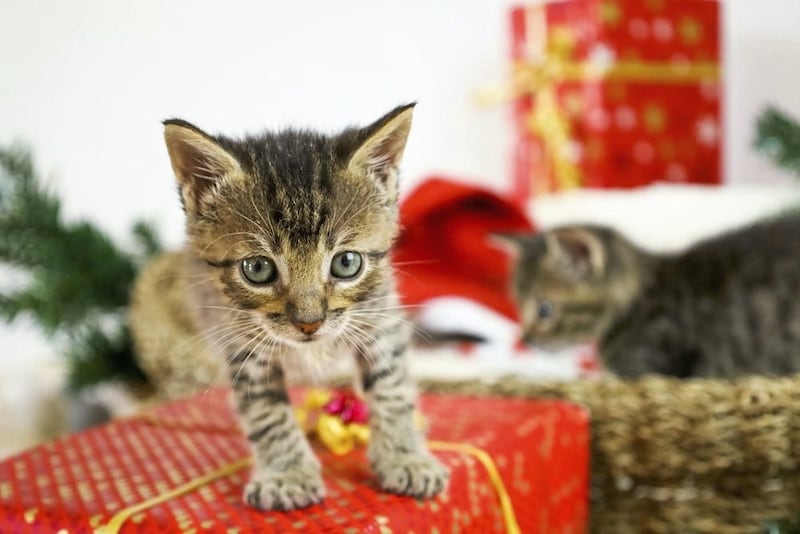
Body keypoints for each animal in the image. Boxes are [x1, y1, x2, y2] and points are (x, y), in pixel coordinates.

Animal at [128, 103, 446, 510]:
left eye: (347, 263)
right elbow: (267, 412)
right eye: (257, 269)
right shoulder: (243, 346)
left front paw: (405, 458)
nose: (309, 323)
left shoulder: (379, 319)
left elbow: (392, 388)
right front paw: (287, 474)